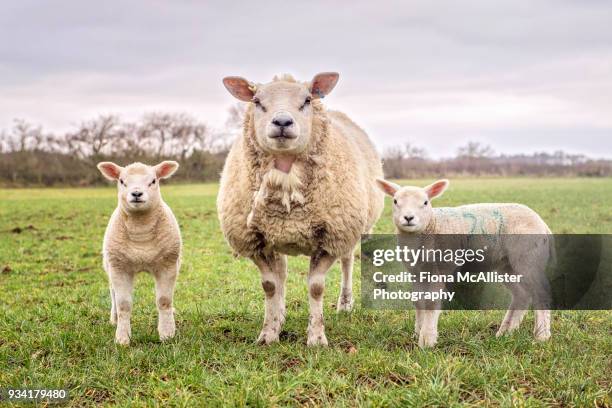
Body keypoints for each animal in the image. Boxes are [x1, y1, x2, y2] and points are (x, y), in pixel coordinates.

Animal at [97, 159, 180, 344]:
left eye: (153, 181)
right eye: (122, 181)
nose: (136, 193)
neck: (141, 232)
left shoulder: (168, 264)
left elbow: (164, 301)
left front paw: (167, 333)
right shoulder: (119, 268)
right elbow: (123, 304)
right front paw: (122, 338)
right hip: (109, 265)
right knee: (113, 293)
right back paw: (114, 319)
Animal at [219, 71, 382, 346]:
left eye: (307, 100)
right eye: (256, 101)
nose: (282, 121)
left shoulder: (331, 238)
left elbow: (316, 288)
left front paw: (316, 337)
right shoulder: (255, 241)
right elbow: (270, 286)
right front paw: (268, 333)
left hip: (352, 230)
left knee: (347, 262)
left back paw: (345, 303)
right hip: (276, 235)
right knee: (282, 273)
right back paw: (280, 314)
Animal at [376, 178, 552, 348]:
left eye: (425, 202)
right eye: (395, 201)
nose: (408, 218)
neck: (432, 226)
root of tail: (543, 224)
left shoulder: (439, 269)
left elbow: (431, 302)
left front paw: (427, 341)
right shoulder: (417, 272)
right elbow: (418, 301)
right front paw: (417, 333)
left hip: (528, 257)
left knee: (540, 293)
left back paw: (541, 337)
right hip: (508, 265)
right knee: (521, 295)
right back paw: (505, 332)